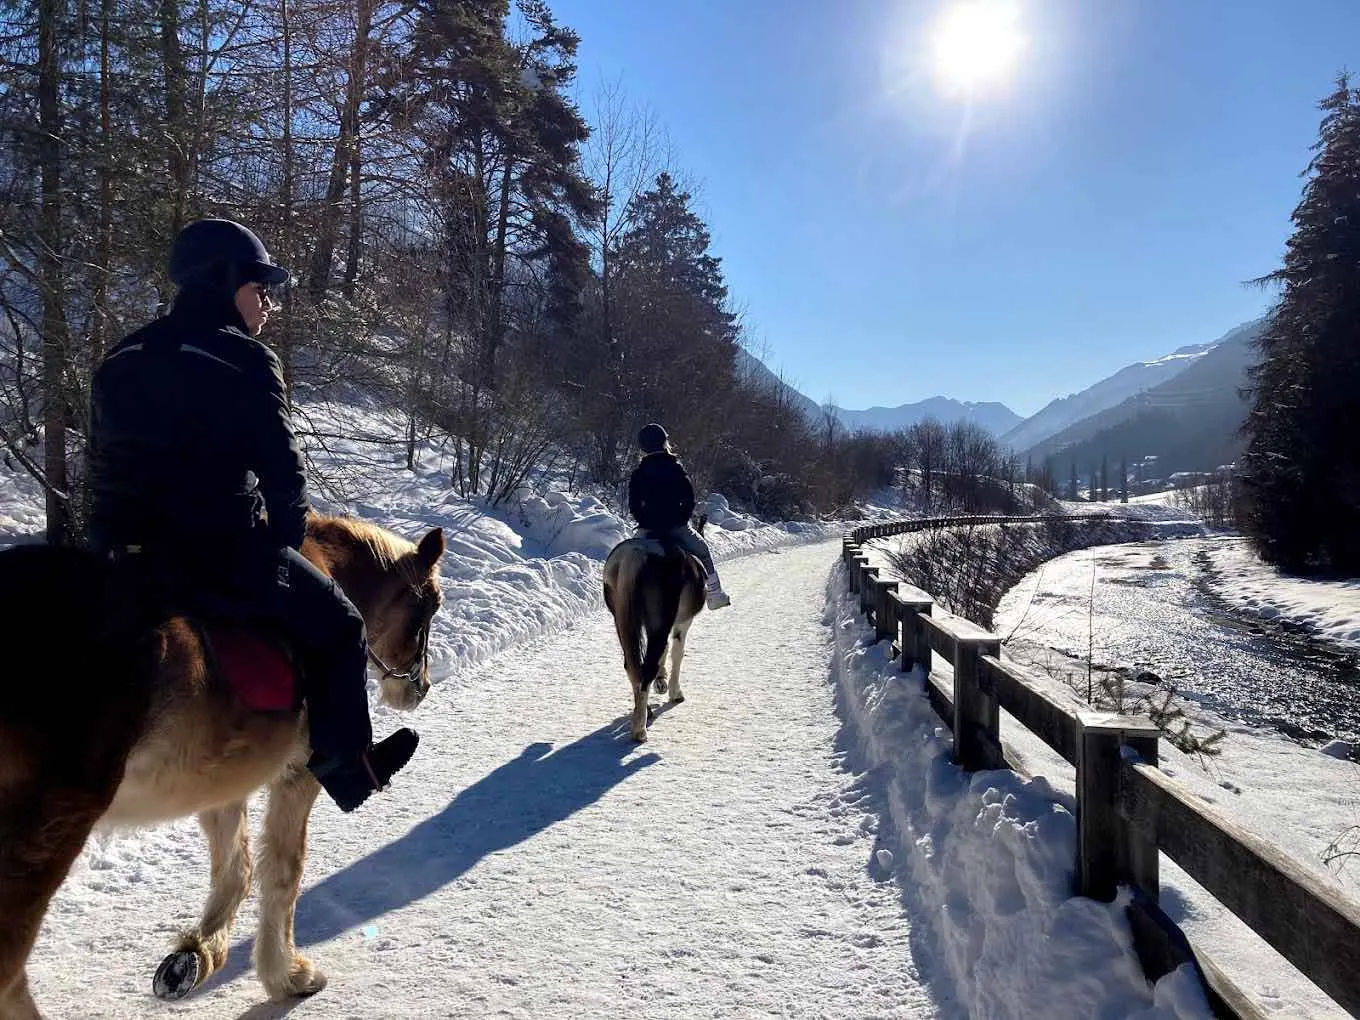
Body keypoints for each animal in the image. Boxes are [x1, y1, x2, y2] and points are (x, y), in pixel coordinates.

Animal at [0, 514, 445, 1020]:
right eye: (429, 608)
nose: (420, 688)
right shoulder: (297, 776)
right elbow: (283, 870)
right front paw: (287, 974)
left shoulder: (221, 783)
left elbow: (237, 866)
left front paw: (196, 955)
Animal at [602, 525, 707, 742]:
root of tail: (635, 555)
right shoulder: (682, 623)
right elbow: (677, 653)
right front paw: (675, 692)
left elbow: (664, 652)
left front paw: (662, 682)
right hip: (660, 622)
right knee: (646, 668)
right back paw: (639, 730)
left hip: (622, 620)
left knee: (633, 666)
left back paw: (644, 711)